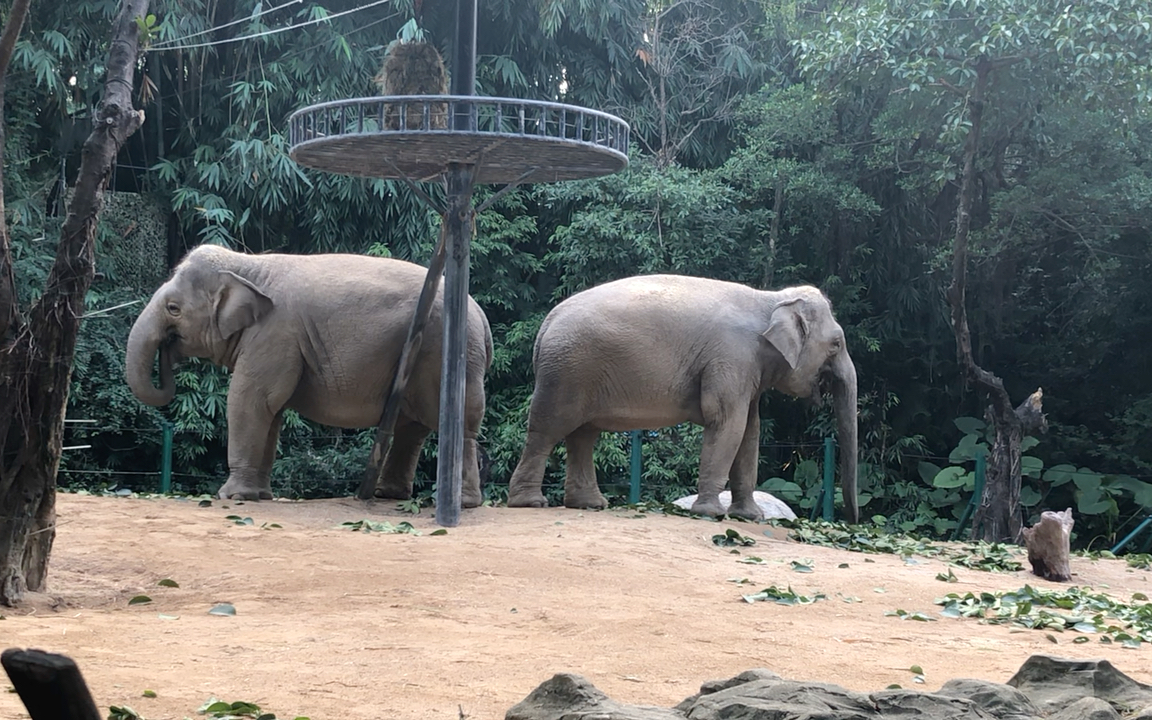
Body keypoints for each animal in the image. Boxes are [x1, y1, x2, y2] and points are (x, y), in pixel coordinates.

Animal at [127, 244, 495, 502]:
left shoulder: (275, 335)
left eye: (173, 308)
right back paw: (387, 495)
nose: (169, 355)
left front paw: (232, 497)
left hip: (447, 352)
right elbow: (271, 411)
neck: (248, 265)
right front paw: (260, 496)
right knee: (412, 427)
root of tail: (481, 316)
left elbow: (250, 399)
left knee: (458, 424)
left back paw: (462, 502)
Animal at [504, 276, 857, 523]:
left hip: (578, 372)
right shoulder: (731, 357)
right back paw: (530, 503)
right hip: (566, 372)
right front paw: (710, 514)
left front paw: (749, 517)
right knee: (548, 429)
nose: (852, 521)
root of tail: (545, 324)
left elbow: (750, 431)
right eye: (837, 344)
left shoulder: (747, 369)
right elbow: (727, 423)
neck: (769, 299)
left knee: (583, 435)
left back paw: (590, 505)